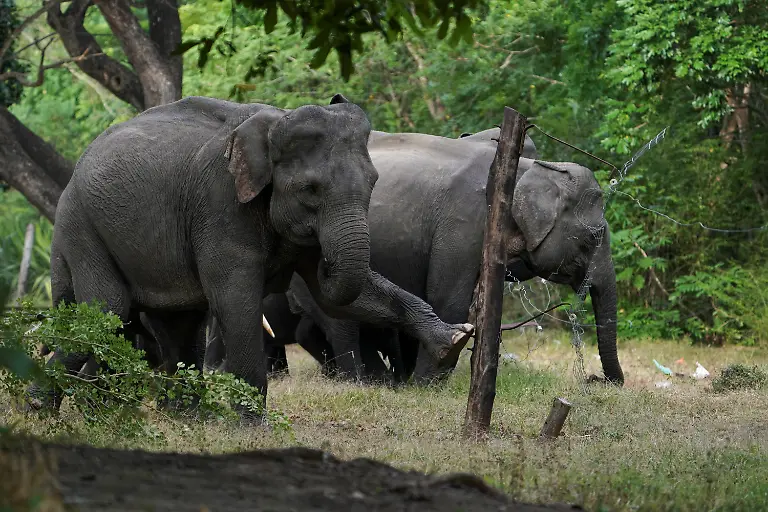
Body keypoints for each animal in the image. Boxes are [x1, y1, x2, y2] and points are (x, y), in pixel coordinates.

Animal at [25, 94, 475, 414]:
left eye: (374, 181)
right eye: (310, 190)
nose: (327, 262)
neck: (275, 121)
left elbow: (351, 296)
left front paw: (454, 339)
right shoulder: (219, 203)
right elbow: (236, 299)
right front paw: (253, 427)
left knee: (176, 325)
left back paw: (186, 417)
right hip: (80, 226)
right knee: (108, 310)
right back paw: (37, 410)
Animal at [214, 126, 624, 385]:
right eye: (595, 235)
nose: (599, 380)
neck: (526, 168)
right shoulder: (463, 223)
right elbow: (448, 298)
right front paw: (429, 386)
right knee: (338, 320)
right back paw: (365, 382)